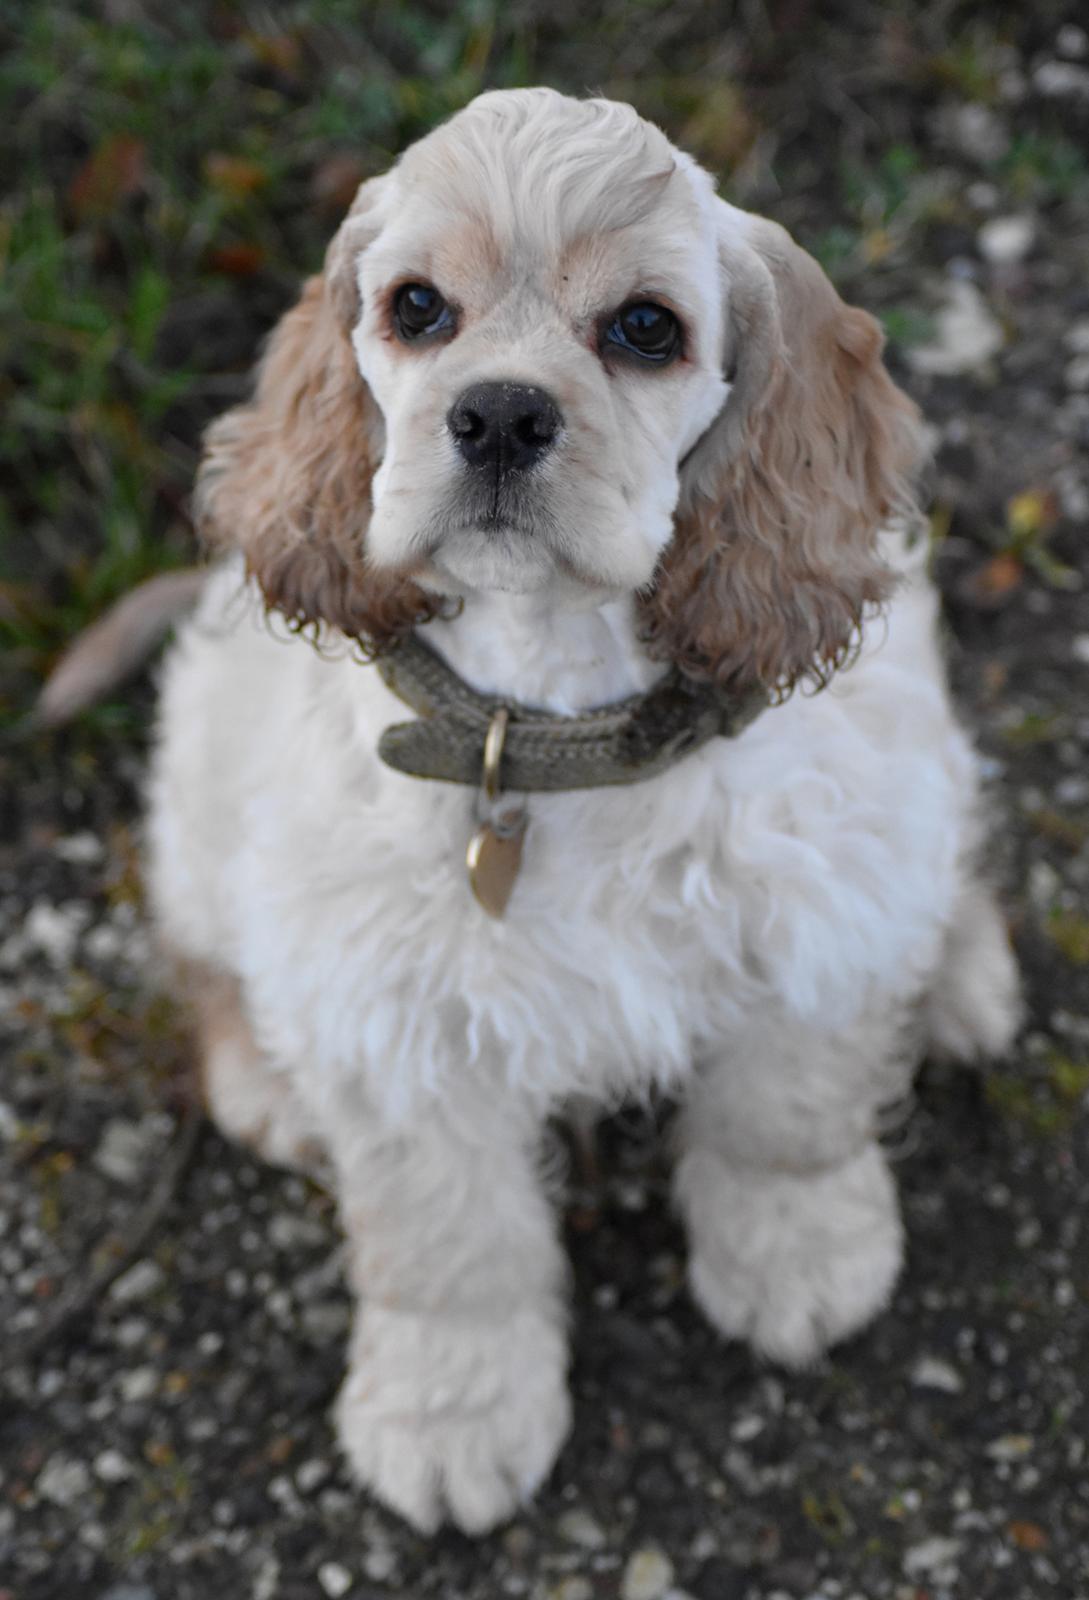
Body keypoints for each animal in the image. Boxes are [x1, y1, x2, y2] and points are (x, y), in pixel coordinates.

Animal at [65, 90, 1017, 1536]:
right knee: (206, 955)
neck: (552, 714)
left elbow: (787, 1114)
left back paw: (963, 973)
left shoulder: (820, 905)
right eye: (415, 308)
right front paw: (449, 1418)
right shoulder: (395, 1014)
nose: (501, 415)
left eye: (645, 328)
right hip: (197, 787)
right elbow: (449, 1242)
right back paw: (268, 1085)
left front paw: (804, 1258)